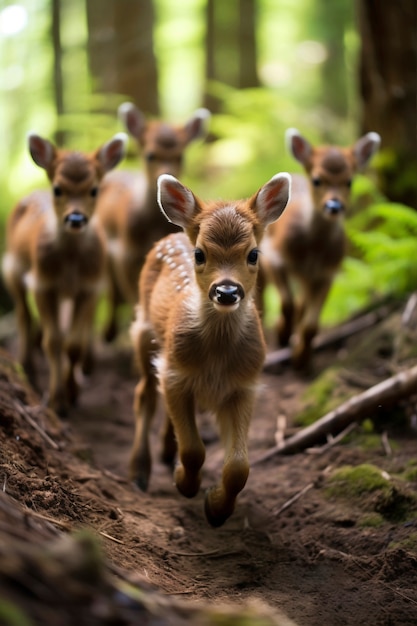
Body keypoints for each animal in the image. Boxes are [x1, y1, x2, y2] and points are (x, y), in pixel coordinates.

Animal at [2, 132, 126, 414]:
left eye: (94, 189)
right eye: (58, 188)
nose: (76, 218)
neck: (71, 264)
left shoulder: (90, 287)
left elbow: (73, 345)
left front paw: (72, 393)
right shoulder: (43, 283)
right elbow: (53, 341)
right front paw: (57, 401)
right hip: (11, 268)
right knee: (23, 315)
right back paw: (27, 368)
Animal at [96, 101, 210, 342]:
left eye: (180, 156)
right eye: (150, 155)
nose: (166, 173)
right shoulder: (125, 252)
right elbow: (132, 294)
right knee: (112, 291)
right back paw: (109, 333)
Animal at [129, 169, 290, 520]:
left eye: (253, 254)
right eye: (200, 254)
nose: (227, 291)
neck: (216, 357)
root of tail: (172, 235)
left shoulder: (245, 385)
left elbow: (239, 467)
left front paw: (216, 509)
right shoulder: (175, 372)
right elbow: (193, 450)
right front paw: (184, 483)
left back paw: (165, 452)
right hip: (143, 332)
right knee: (145, 394)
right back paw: (139, 471)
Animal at [260, 129, 380, 368]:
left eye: (349, 181)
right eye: (317, 180)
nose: (333, 205)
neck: (312, 251)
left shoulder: (327, 273)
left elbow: (311, 324)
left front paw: (301, 359)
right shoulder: (273, 255)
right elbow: (286, 302)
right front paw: (282, 334)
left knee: (301, 303)